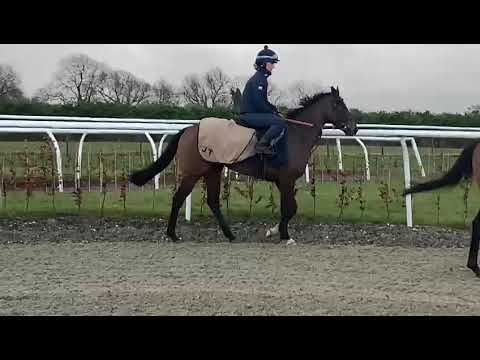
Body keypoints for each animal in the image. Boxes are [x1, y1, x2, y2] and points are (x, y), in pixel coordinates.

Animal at [130, 87, 356, 245]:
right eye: (339, 104)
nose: (354, 127)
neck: (295, 135)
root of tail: (189, 129)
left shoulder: (283, 180)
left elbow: (290, 208)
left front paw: (275, 231)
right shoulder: (286, 179)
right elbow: (289, 208)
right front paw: (283, 235)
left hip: (213, 170)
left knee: (213, 201)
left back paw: (230, 235)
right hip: (194, 172)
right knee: (178, 198)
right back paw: (173, 234)